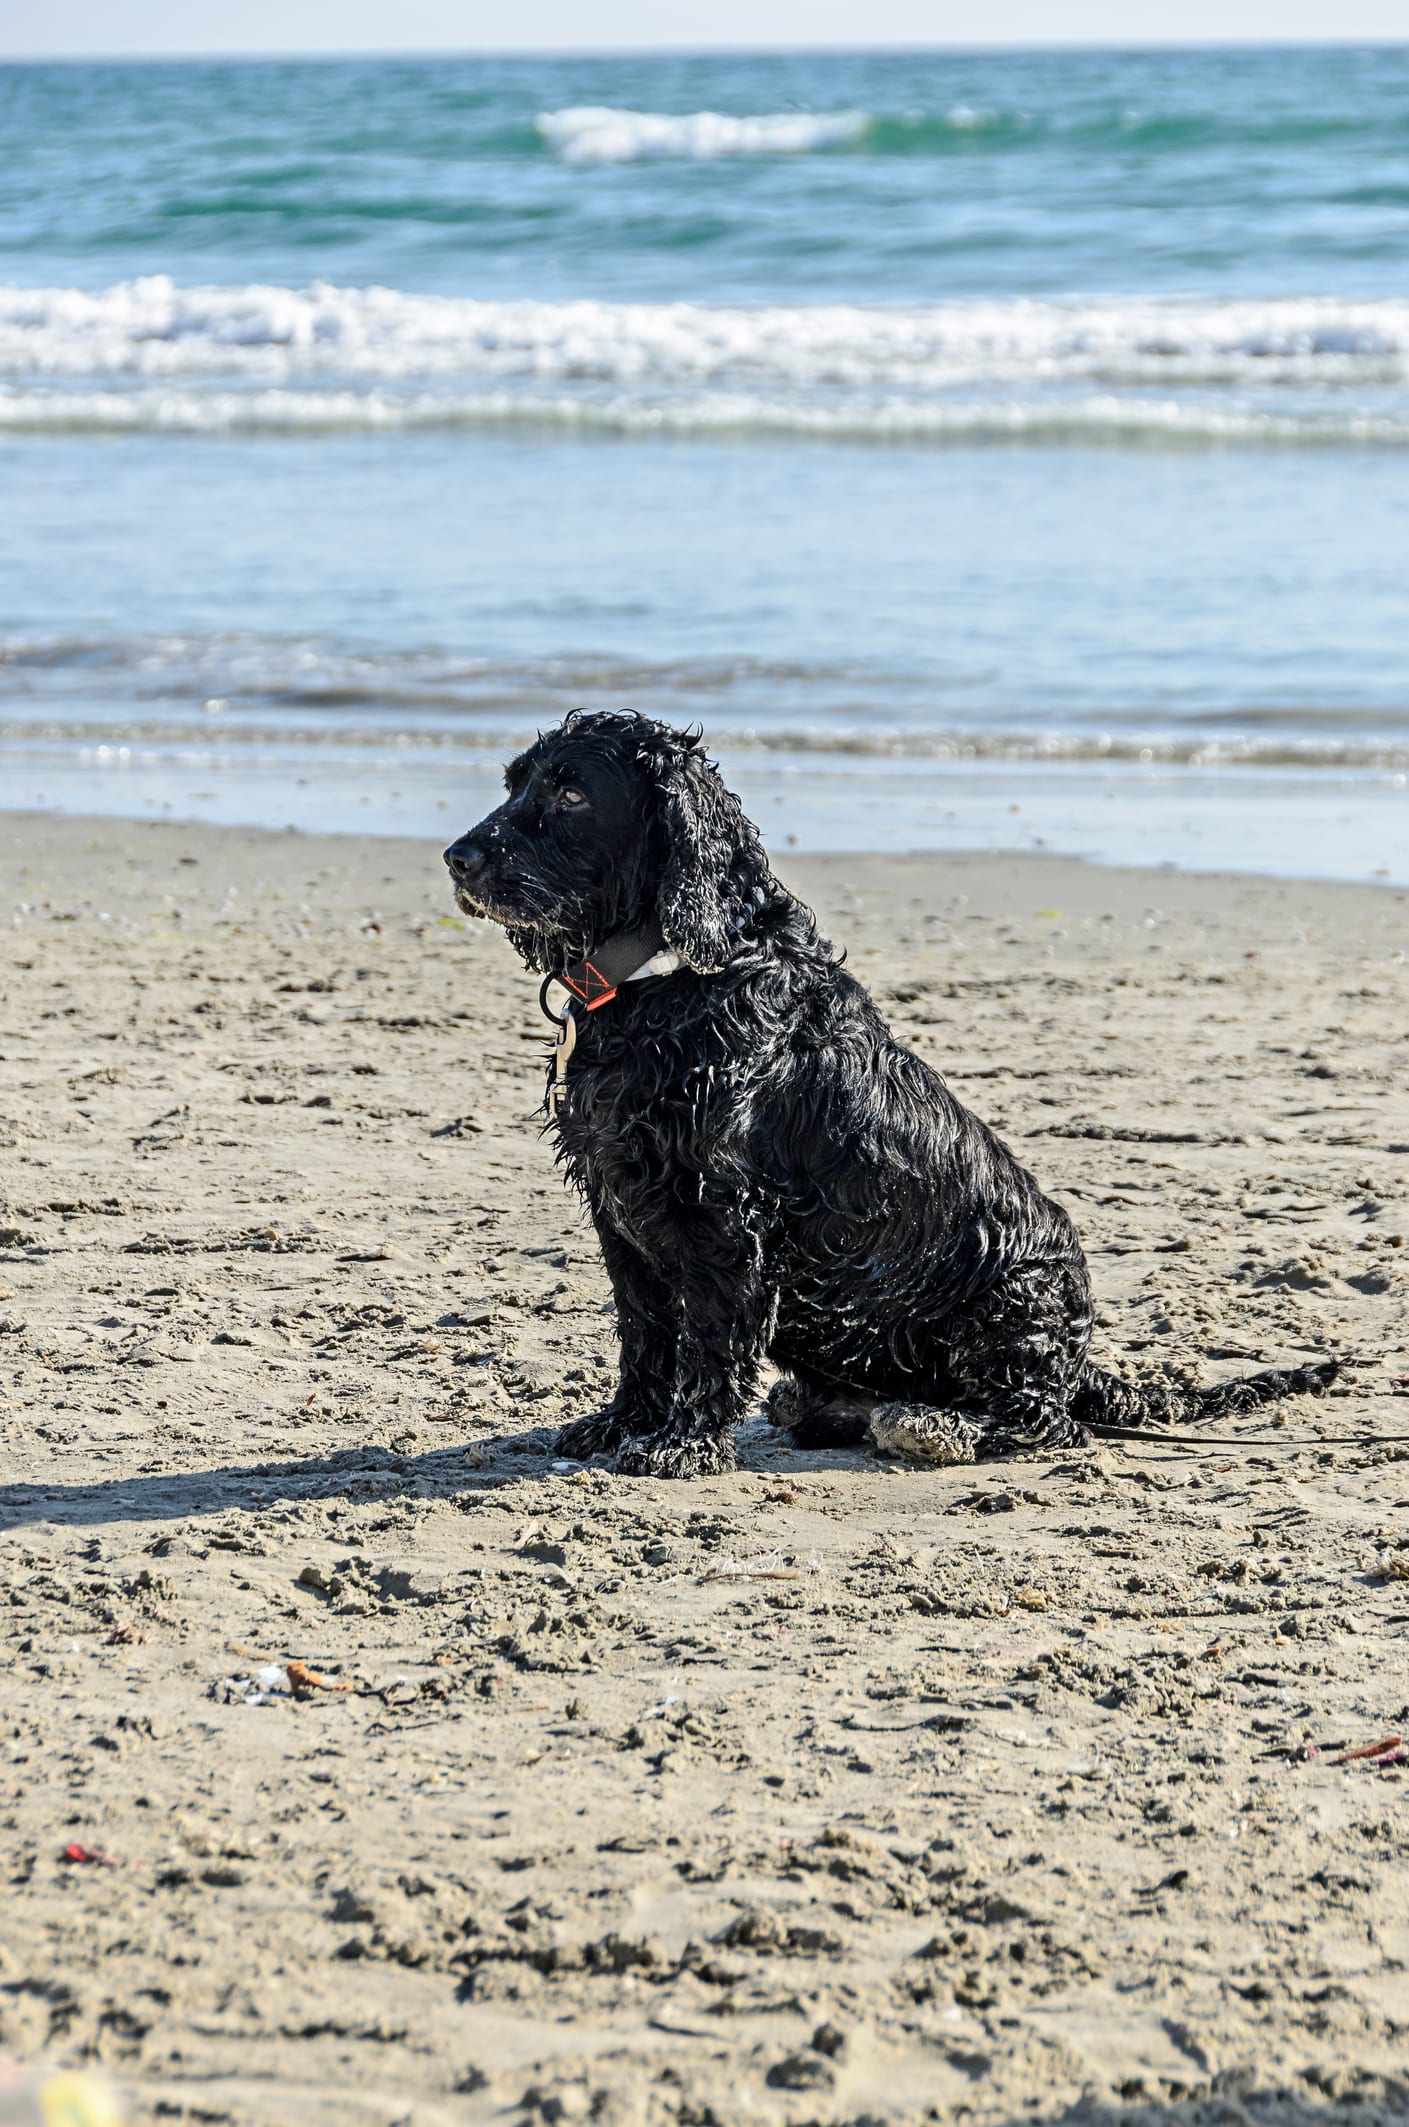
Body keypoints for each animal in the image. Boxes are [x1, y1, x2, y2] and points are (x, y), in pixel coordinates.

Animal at [446, 714, 1345, 1480]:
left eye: (570, 794)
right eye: (515, 782)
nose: (457, 857)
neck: (674, 975)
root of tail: (1081, 1362)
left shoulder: (723, 1219)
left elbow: (704, 1344)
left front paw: (683, 1444)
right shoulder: (620, 1207)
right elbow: (644, 1336)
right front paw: (622, 1423)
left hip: (1008, 1292)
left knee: (1044, 1420)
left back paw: (931, 1426)